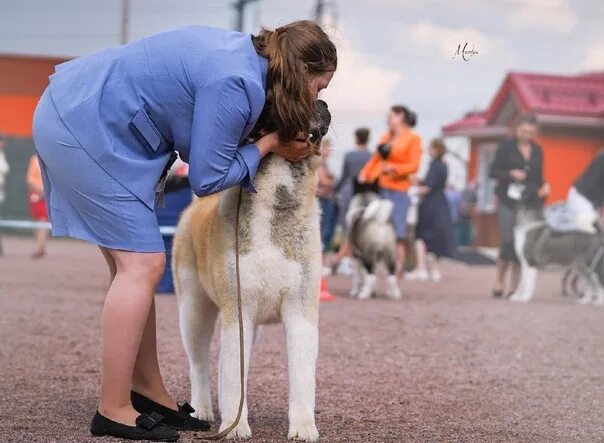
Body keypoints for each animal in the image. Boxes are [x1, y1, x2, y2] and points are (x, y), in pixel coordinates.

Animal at [170, 101, 330, 443]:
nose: (323, 104)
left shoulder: (300, 312)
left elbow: (302, 375)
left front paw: (303, 427)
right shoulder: (238, 311)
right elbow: (231, 375)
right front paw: (236, 427)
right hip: (193, 310)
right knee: (199, 364)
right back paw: (203, 410)